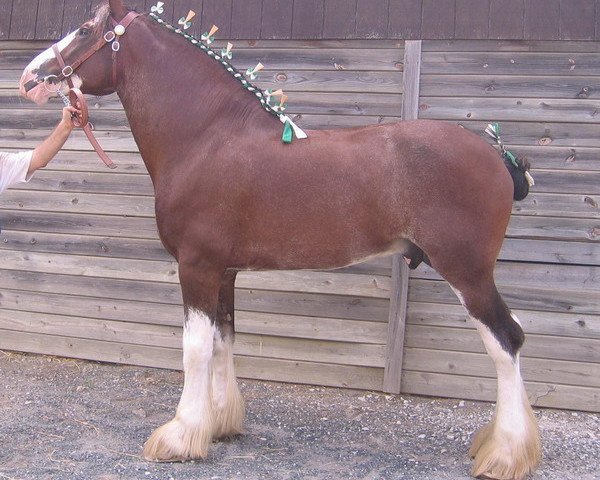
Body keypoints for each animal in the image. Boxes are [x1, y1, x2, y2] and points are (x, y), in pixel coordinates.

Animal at [21, 1, 540, 478]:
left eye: (84, 30)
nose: (29, 78)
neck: (206, 138)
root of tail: (497, 156)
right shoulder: (224, 270)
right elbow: (224, 339)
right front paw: (220, 425)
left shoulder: (196, 265)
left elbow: (195, 347)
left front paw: (180, 437)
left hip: (466, 272)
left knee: (506, 340)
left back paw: (504, 455)